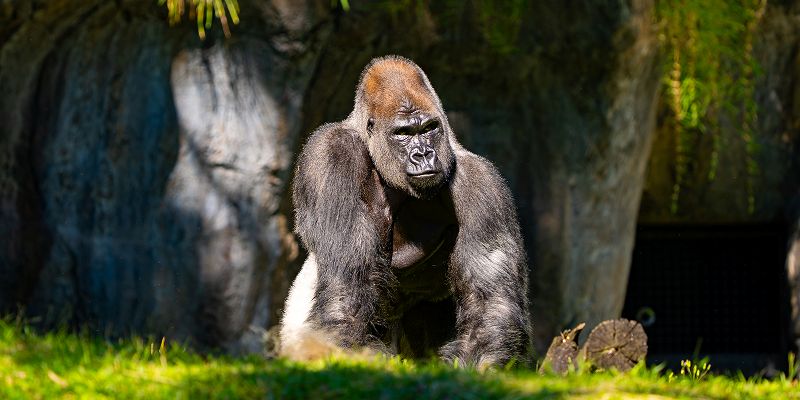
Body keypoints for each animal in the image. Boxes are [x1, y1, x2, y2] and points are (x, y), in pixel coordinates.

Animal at [280, 55, 531, 369]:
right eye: (403, 133)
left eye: (428, 129)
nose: (423, 154)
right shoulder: (330, 151)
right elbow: (347, 286)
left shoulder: (483, 183)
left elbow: (491, 304)